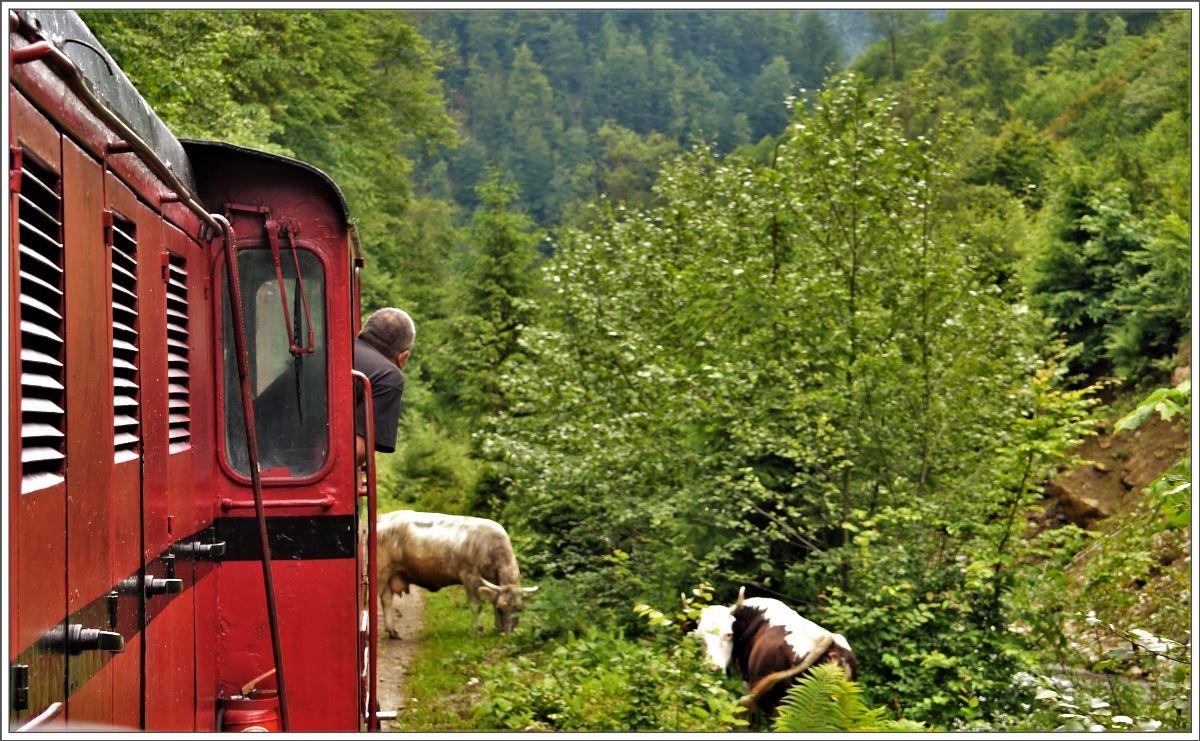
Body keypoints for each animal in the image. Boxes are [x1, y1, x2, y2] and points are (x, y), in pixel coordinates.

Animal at [375, 509, 538, 637]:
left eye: (520, 609)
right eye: (501, 609)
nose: (507, 635)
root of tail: (382, 517)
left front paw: (497, 628)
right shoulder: (470, 577)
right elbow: (476, 606)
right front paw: (477, 632)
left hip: (391, 573)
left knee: (386, 599)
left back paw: (392, 631)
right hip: (380, 572)